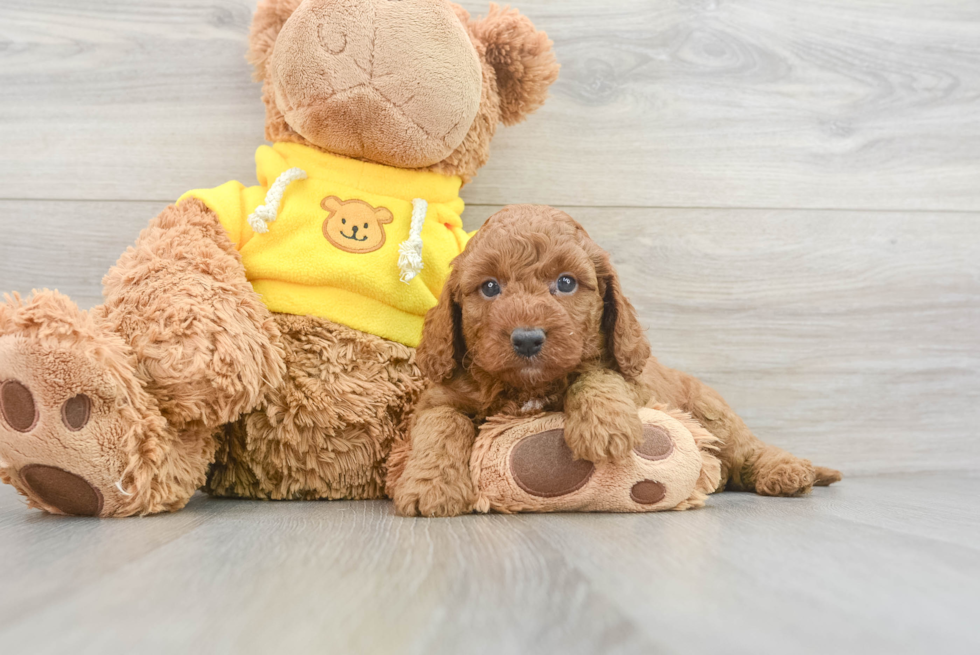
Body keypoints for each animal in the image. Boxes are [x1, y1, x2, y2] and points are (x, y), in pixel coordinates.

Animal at [390, 205, 844, 516]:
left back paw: (788, 471)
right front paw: (431, 487)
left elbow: (597, 371)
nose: (527, 339)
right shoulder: (441, 398)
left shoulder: (632, 378)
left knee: (750, 451)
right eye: (489, 287)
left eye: (566, 283)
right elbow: (441, 428)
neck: (529, 386)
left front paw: (603, 426)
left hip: (716, 420)